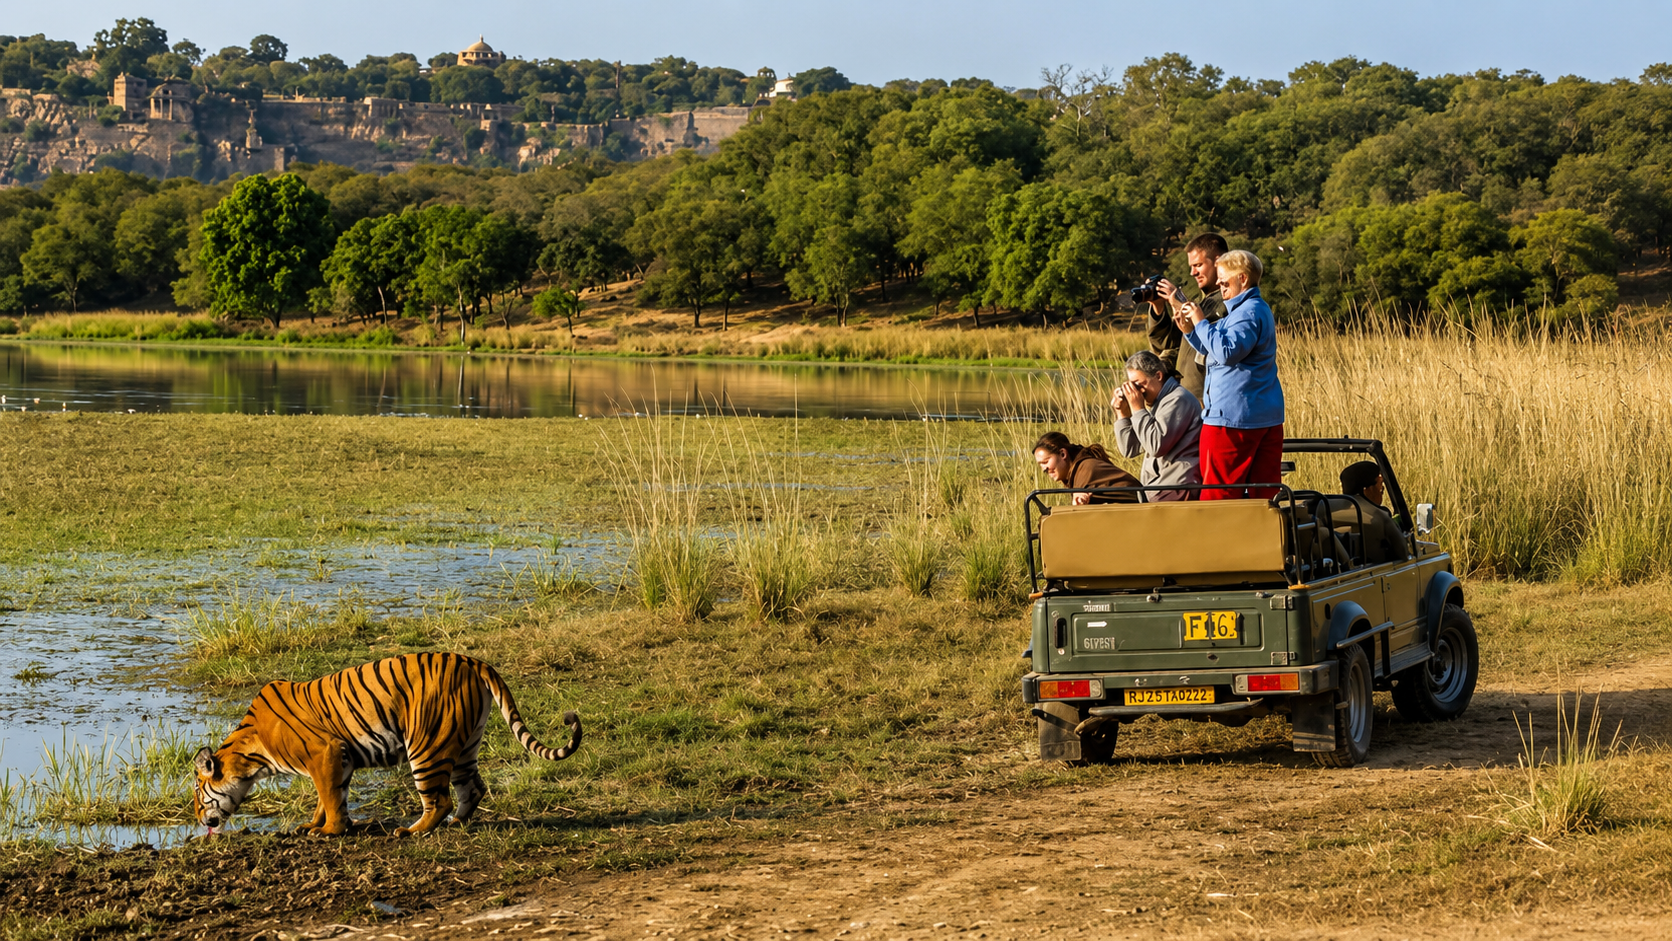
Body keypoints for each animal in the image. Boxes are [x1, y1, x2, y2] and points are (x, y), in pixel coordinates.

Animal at [192, 651, 582, 836]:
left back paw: (412, 831)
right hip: (465, 745)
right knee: (472, 788)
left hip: (427, 745)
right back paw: (457, 823)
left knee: (438, 799)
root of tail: (472, 661)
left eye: (197, 794)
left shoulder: (325, 753)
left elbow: (329, 797)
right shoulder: (339, 759)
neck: (251, 754)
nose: (198, 820)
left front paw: (329, 831)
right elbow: (328, 797)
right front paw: (313, 826)